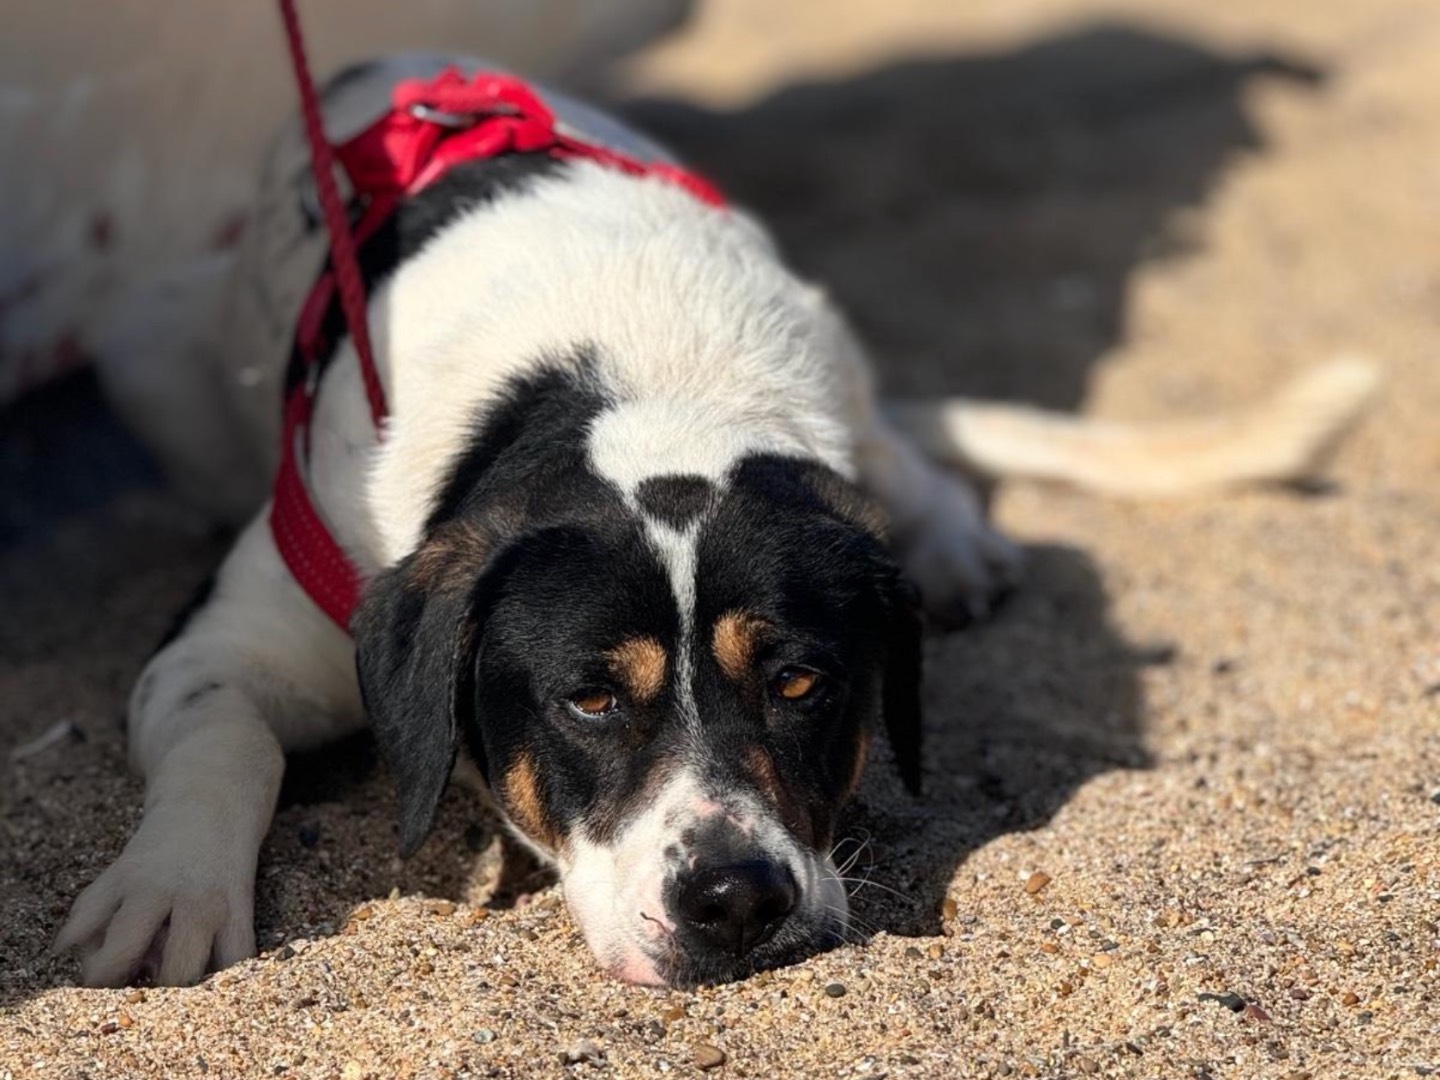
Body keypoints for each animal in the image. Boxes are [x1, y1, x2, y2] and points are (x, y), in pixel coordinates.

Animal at [59, 57, 1382, 990]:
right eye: (590, 698)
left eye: (801, 682)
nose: (737, 902)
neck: (630, 377)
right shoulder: (231, 637)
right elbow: (227, 740)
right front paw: (170, 891)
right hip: (140, 354)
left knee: (910, 458)